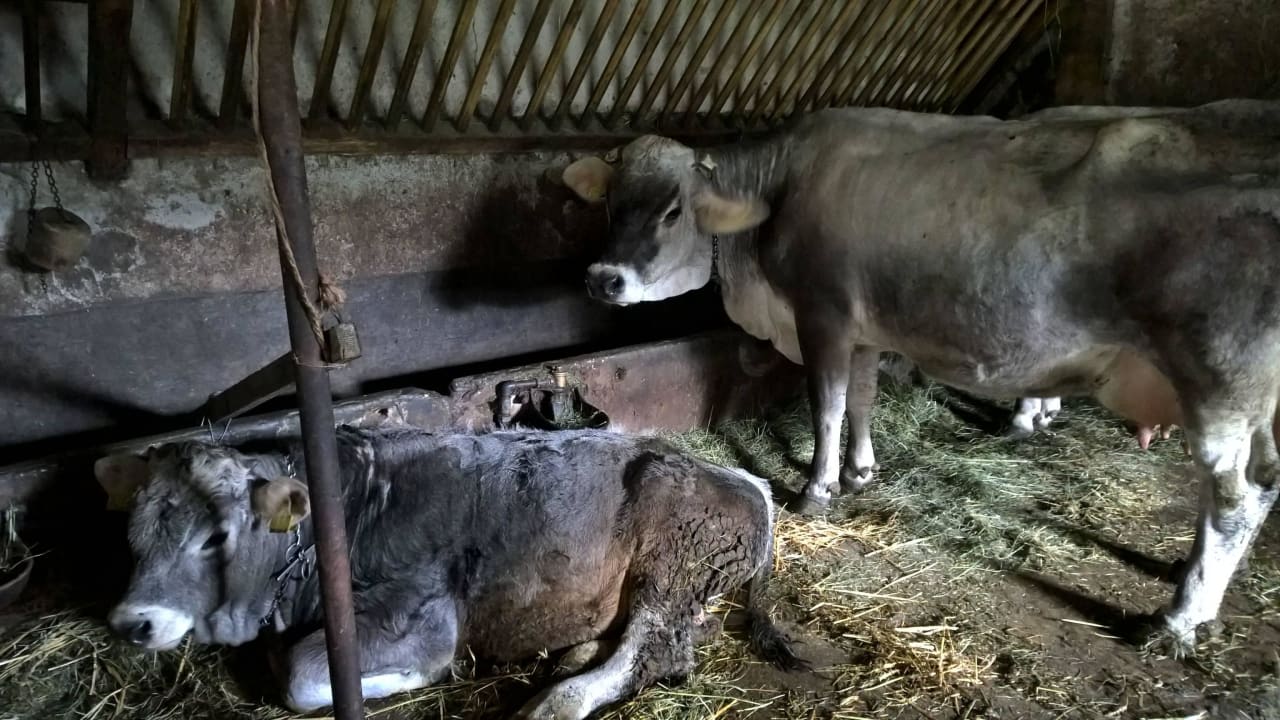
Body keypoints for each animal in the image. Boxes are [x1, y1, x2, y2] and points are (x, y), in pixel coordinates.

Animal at [93, 426, 801, 718]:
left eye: (216, 536)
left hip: (672, 562)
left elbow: (300, 676)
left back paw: (557, 702)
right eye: (132, 534)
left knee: (654, 652)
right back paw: (573, 655)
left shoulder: (418, 614)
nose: (132, 622)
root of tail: (750, 483)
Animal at [558, 99, 1280, 647]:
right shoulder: (863, 331)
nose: (602, 279)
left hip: (1220, 385)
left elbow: (827, 404)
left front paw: (817, 487)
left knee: (1236, 500)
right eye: (611, 204)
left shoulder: (824, 315)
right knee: (1265, 482)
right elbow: (863, 400)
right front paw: (861, 470)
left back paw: (1178, 619)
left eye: (673, 209)